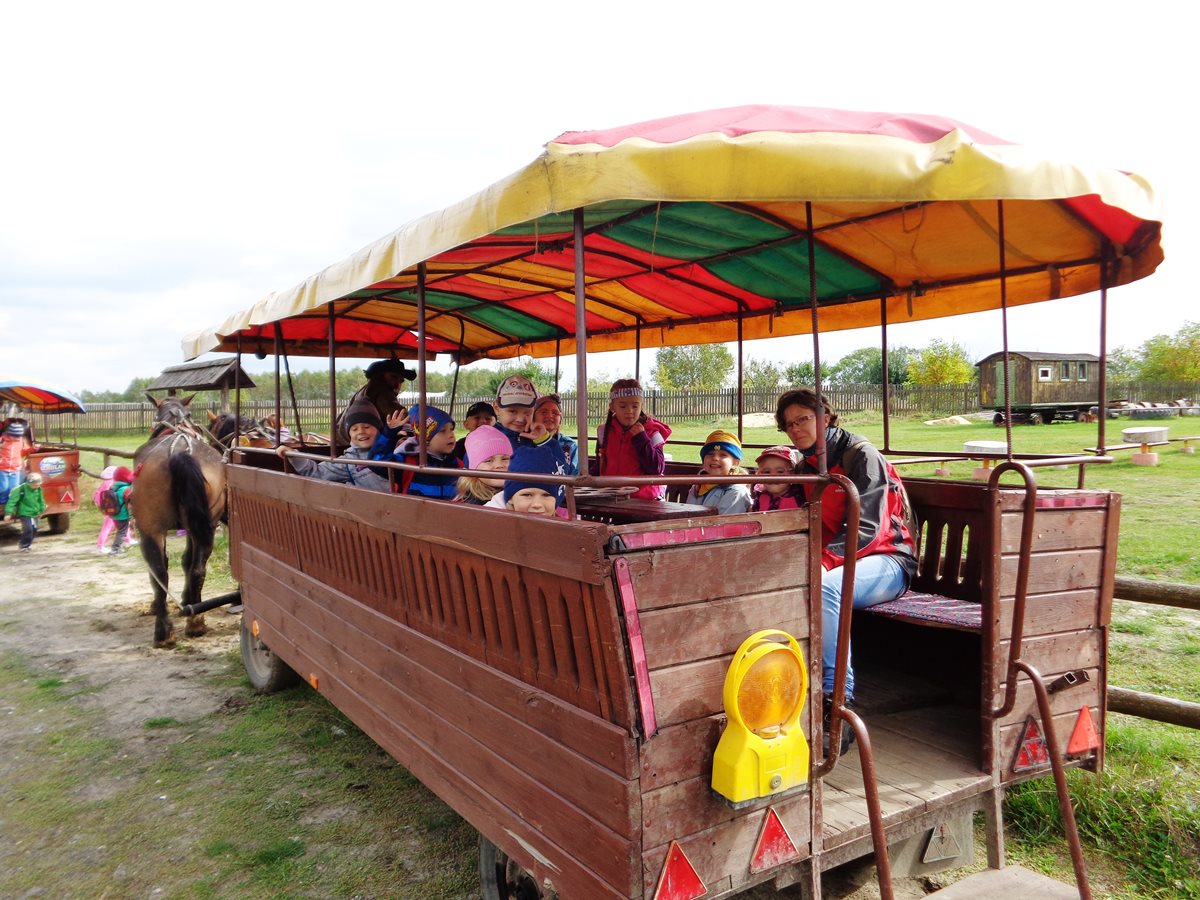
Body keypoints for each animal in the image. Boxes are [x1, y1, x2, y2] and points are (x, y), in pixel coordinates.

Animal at [132, 394, 227, 648]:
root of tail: (180, 451)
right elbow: (186, 563)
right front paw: (188, 601)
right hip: (201, 527)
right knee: (194, 570)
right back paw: (189, 623)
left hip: (151, 530)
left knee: (160, 572)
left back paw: (172, 627)